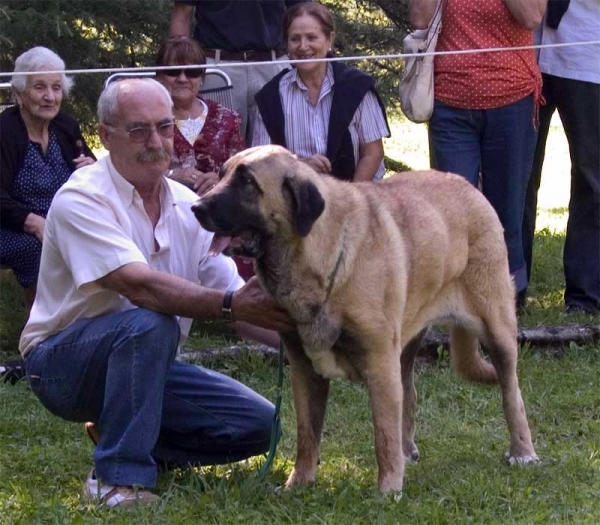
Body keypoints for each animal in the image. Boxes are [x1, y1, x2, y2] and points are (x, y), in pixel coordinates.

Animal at [192, 145, 540, 494]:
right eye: (222, 174)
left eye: (247, 182)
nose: (196, 207)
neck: (319, 254)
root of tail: (470, 187)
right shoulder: (304, 369)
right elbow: (307, 434)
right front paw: (298, 484)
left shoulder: (379, 362)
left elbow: (382, 436)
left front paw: (388, 490)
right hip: (408, 342)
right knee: (410, 393)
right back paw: (408, 451)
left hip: (496, 328)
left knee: (512, 394)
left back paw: (523, 452)